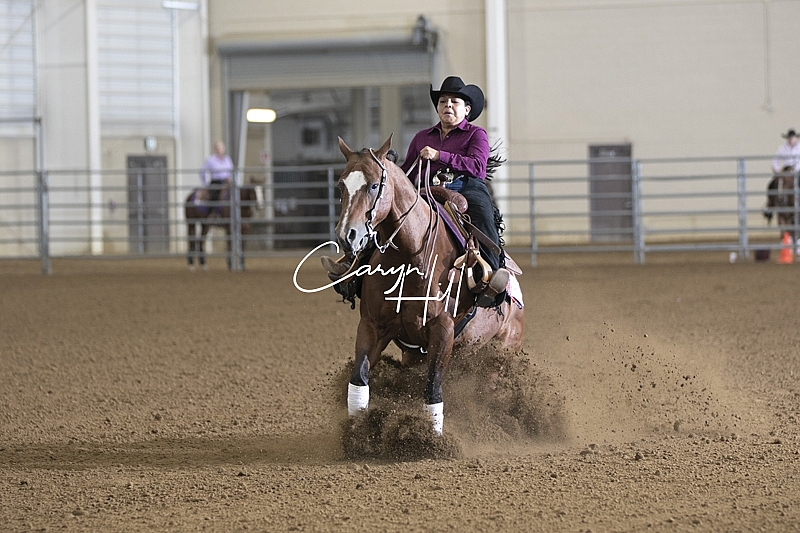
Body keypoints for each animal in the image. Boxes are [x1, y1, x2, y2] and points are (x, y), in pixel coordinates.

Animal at [334, 135, 524, 435]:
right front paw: (356, 434)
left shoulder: (442, 330)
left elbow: (432, 391)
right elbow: (359, 380)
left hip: (500, 353)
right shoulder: (372, 325)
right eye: (341, 185)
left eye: (374, 185)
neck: (410, 255)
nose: (346, 236)